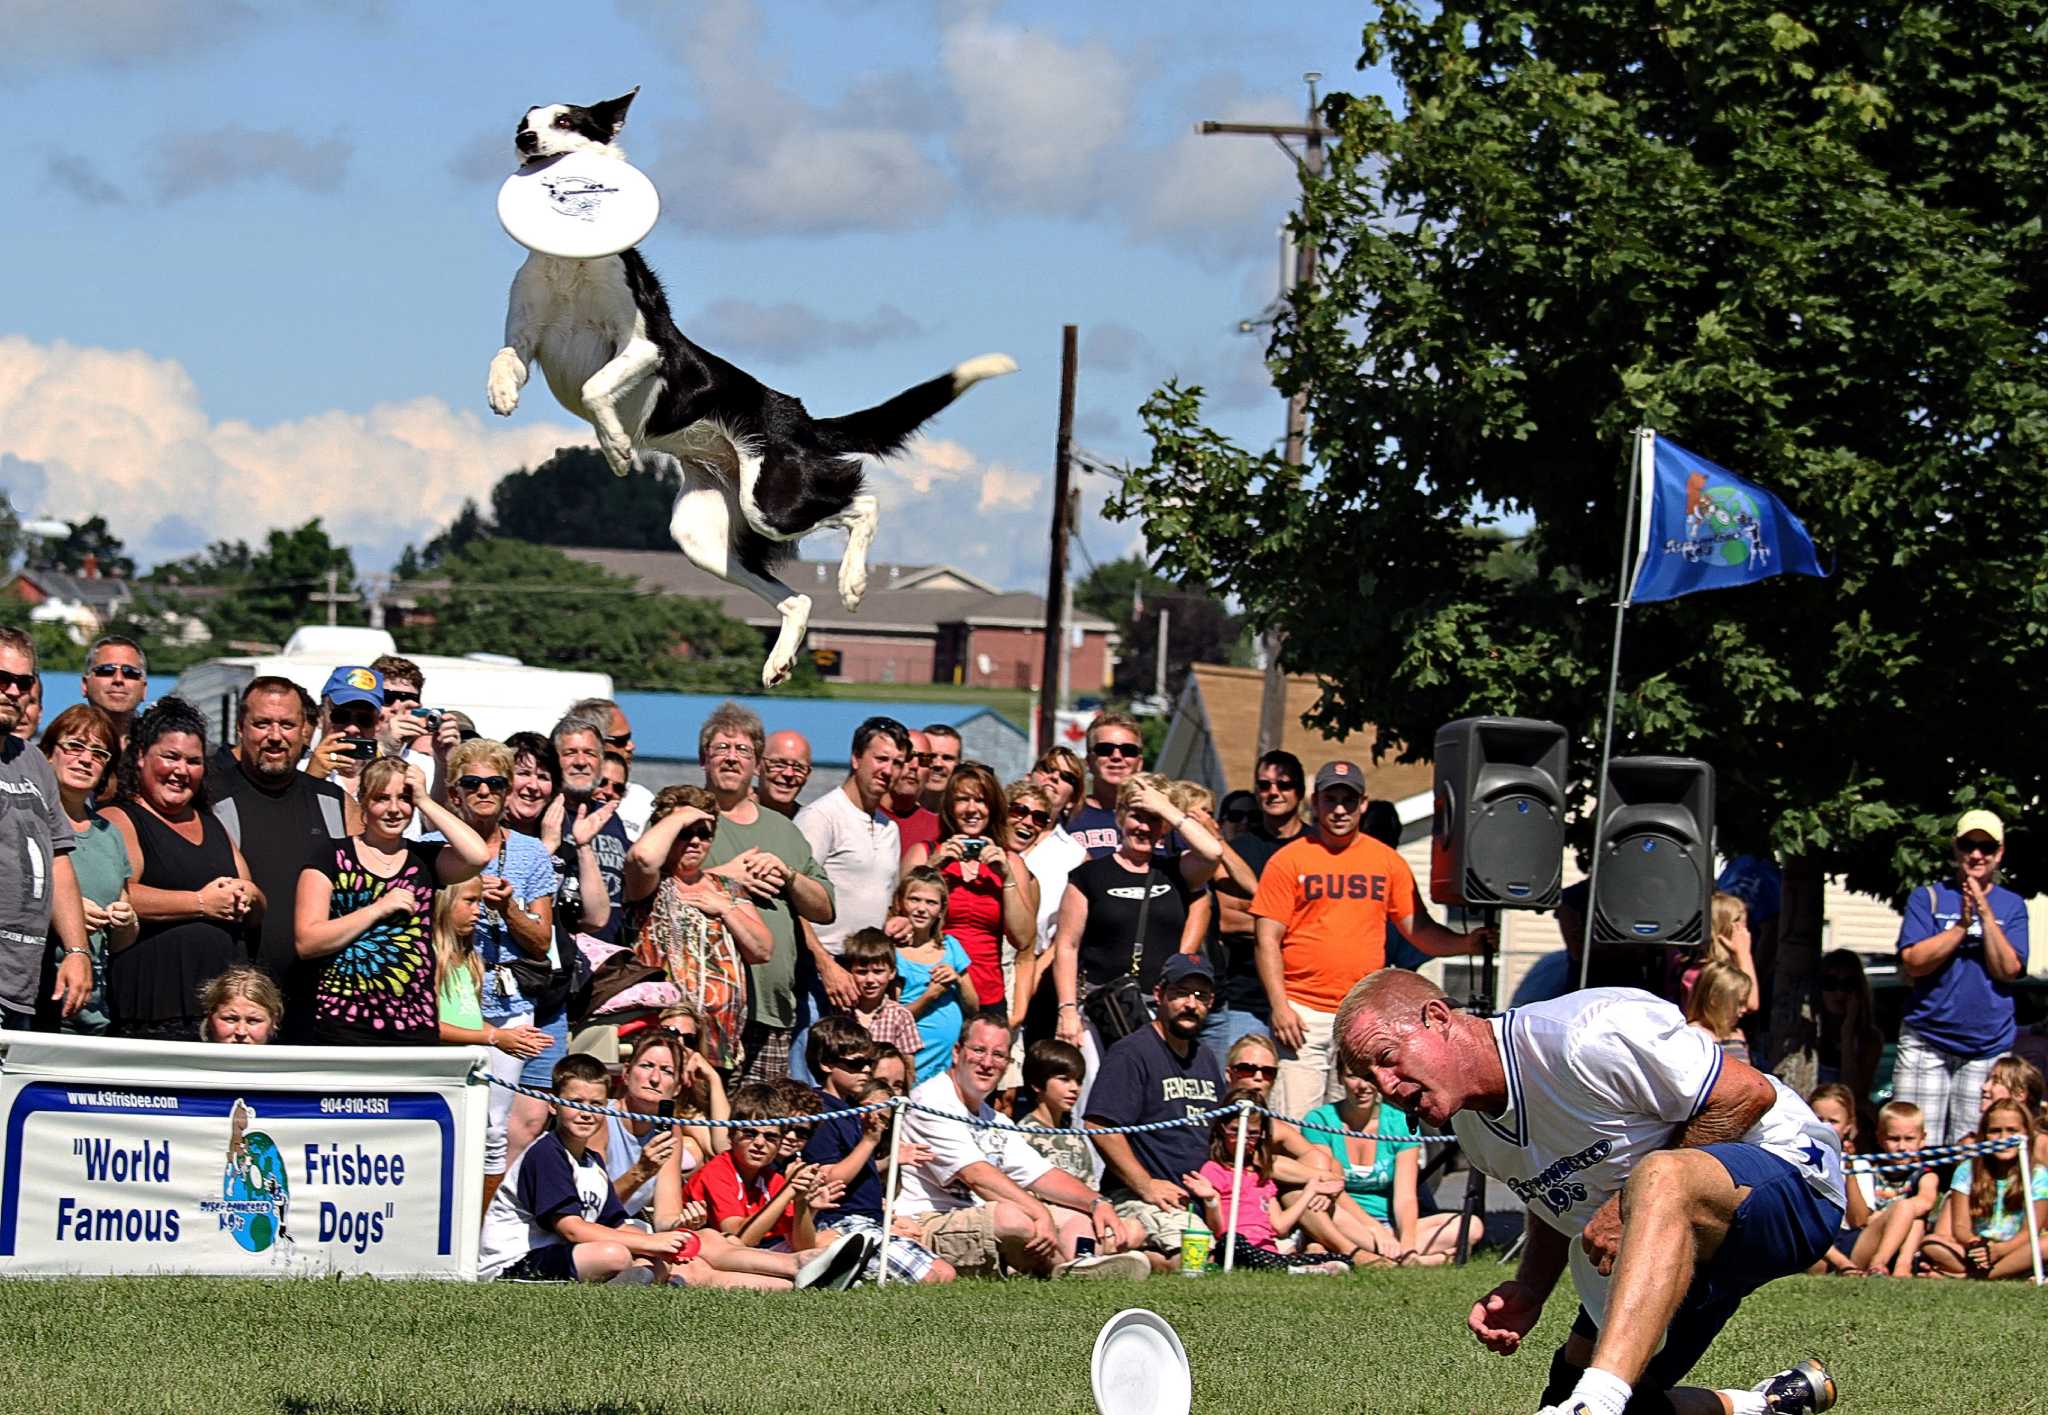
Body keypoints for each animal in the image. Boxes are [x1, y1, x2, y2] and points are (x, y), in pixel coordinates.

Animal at [487, 88, 1015, 688]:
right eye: (523, 122)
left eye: (565, 120)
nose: (525, 139)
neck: (569, 264)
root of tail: (802, 420)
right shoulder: (527, 338)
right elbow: (505, 358)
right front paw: (502, 396)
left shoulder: (646, 347)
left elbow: (598, 385)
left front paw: (618, 448)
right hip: (704, 534)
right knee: (797, 599)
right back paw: (779, 661)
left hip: (774, 502)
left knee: (864, 504)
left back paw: (853, 584)